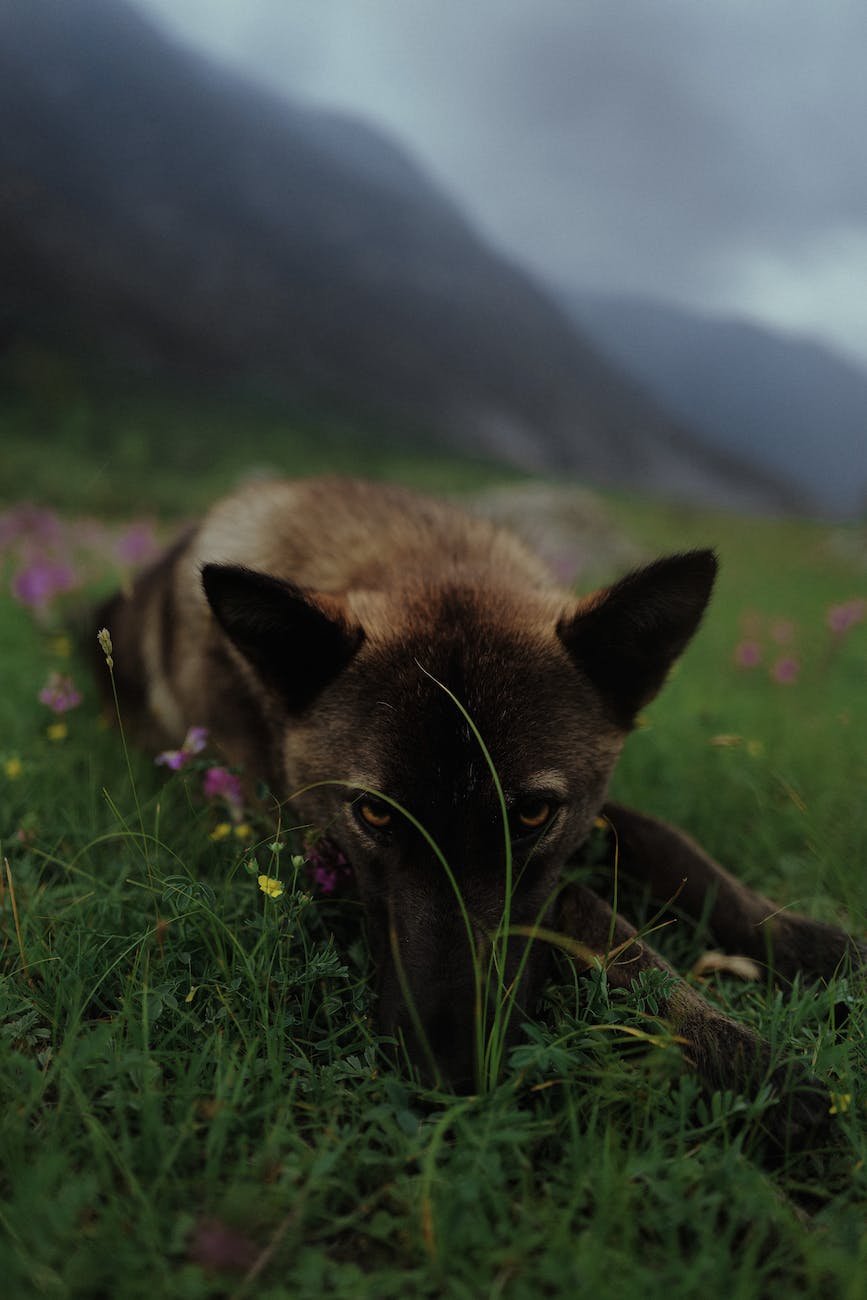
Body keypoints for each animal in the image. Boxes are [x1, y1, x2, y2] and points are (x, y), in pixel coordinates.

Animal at [95, 477, 863, 1127]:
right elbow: (591, 911)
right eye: (374, 814)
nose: (449, 1076)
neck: (422, 557)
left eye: (531, 814)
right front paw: (755, 1067)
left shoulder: (588, 816)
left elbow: (678, 850)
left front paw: (823, 949)